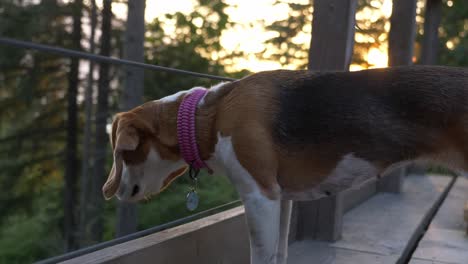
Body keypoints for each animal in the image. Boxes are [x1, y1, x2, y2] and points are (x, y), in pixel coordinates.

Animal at [103, 65, 468, 262]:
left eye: (123, 155)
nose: (114, 192)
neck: (209, 115)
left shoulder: (259, 197)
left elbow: (261, 256)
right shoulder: (281, 199)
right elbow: (279, 253)